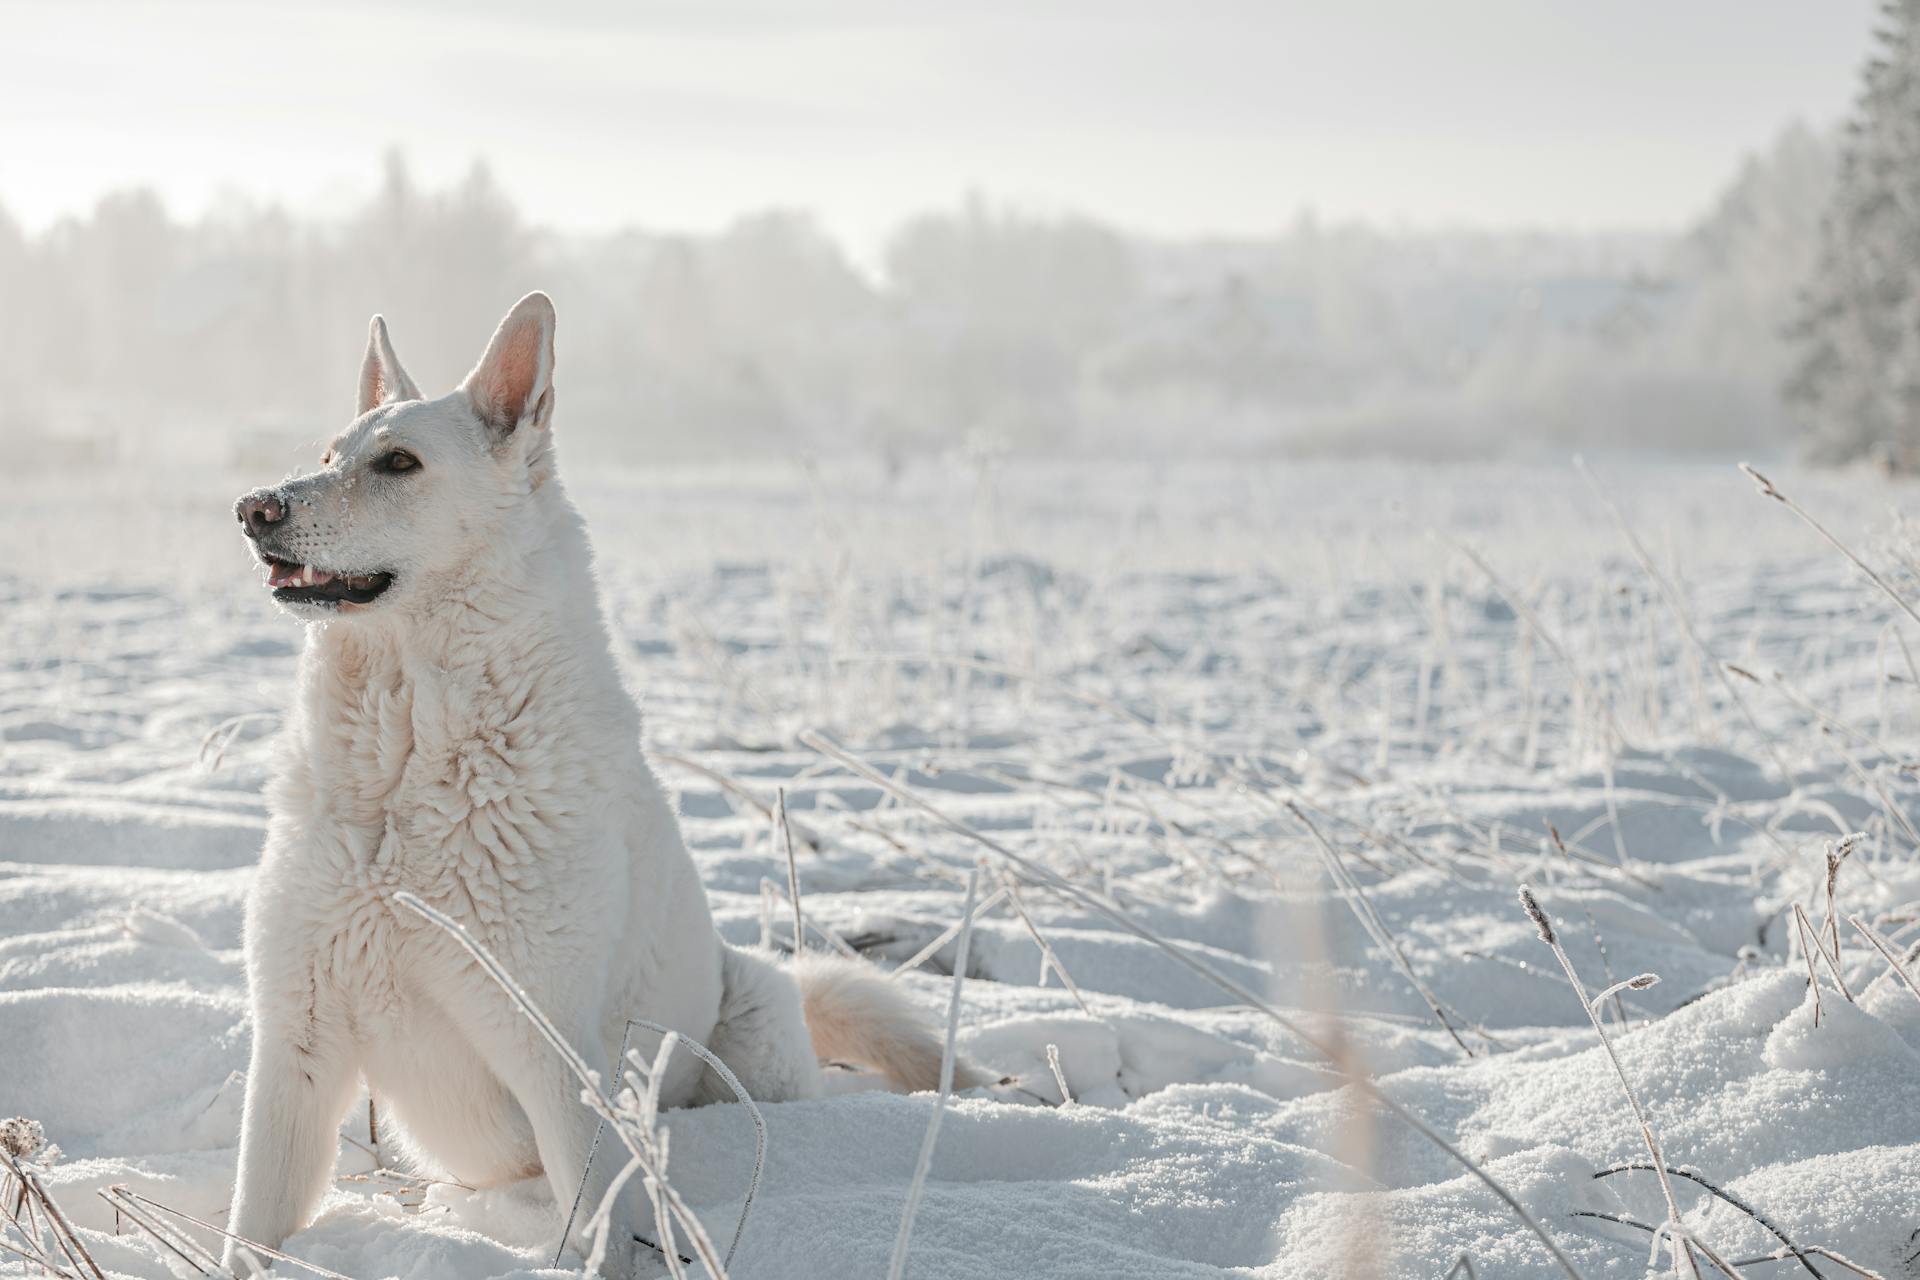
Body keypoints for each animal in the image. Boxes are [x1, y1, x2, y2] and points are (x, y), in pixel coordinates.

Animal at [224, 295, 990, 1274]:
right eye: (328, 456)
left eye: (399, 463)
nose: (254, 508)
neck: (410, 759)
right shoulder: (297, 1040)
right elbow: (250, 1230)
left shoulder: (550, 1052)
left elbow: (595, 1225)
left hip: (744, 1040)